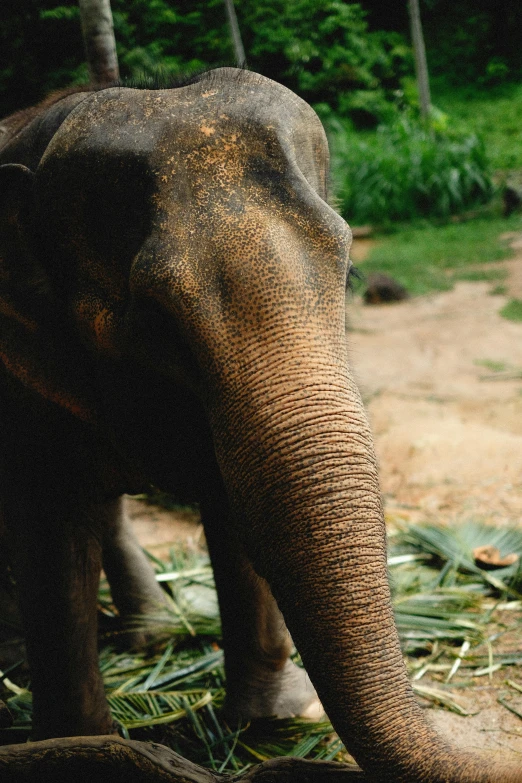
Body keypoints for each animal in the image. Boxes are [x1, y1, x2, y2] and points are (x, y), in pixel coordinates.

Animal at [0, 69, 516, 783]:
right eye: (154, 321)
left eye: (349, 274)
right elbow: (50, 531)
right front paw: (79, 748)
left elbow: (233, 502)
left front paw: (274, 718)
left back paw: (152, 634)